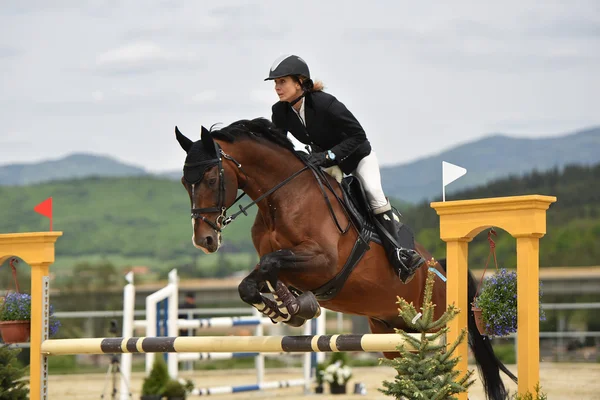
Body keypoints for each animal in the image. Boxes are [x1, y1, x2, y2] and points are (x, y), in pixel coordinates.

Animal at [173, 117, 516, 398]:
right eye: (184, 182)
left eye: (210, 179)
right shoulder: (277, 262)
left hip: (437, 327)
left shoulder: (323, 262)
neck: (282, 197)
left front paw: (294, 307)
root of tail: (441, 267)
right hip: (391, 334)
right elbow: (253, 281)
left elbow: (272, 266)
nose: (204, 240)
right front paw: (287, 309)